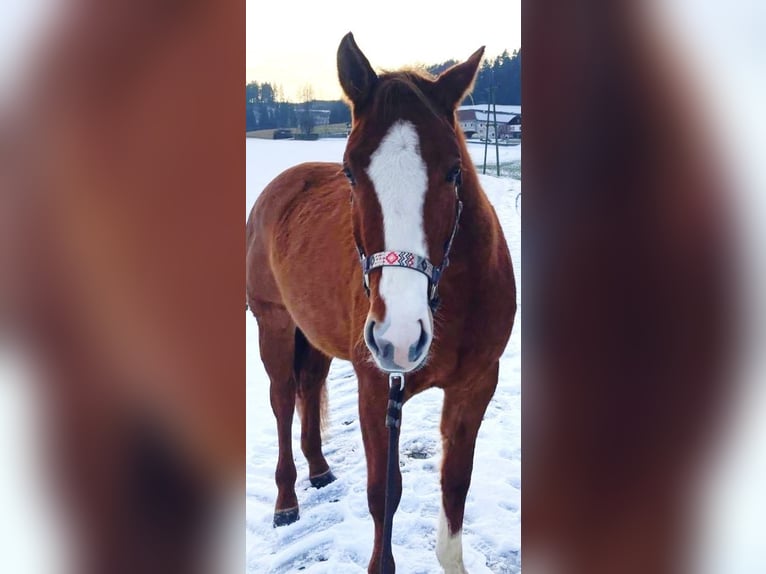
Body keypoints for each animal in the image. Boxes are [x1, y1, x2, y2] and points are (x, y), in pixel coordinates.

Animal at [246, 33, 516, 573]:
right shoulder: (376, 388)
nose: (400, 335)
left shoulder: (475, 386)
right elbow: (383, 495)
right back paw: (286, 500)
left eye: (454, 171)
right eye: (350, 172)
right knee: (283, 400)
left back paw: (319, 468)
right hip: (274, 325)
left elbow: (455, 488)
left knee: (309, 386)